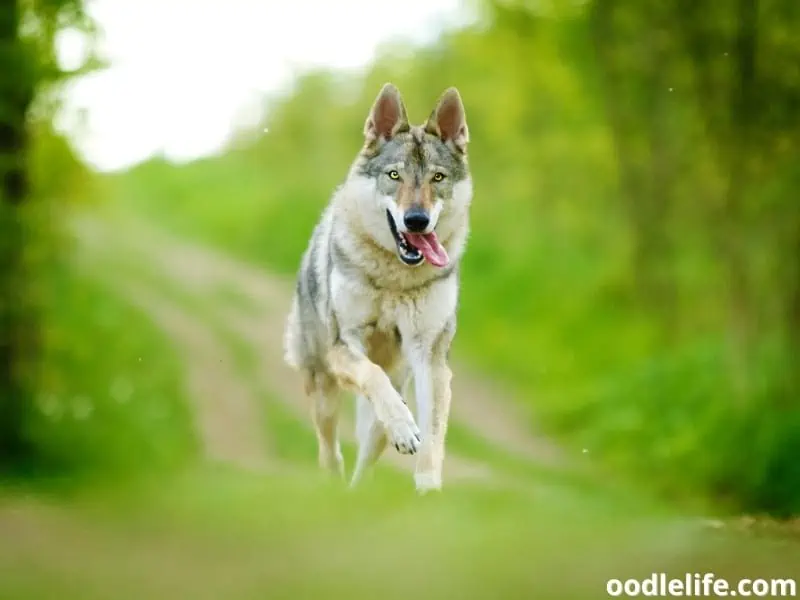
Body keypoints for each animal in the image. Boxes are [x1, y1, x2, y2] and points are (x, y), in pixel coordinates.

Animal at [282, 82, 472, 492]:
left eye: (437, 178)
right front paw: (404, 429)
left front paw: (429, 490)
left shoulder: (430, 357)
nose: (416, 220)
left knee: (368, 453)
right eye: (394, 175)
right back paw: (333, 486)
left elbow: (432, 436)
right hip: (324, 389)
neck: (393, 280)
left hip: (395, 392)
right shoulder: (343, 345)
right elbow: (372, 375)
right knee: (331, 450)